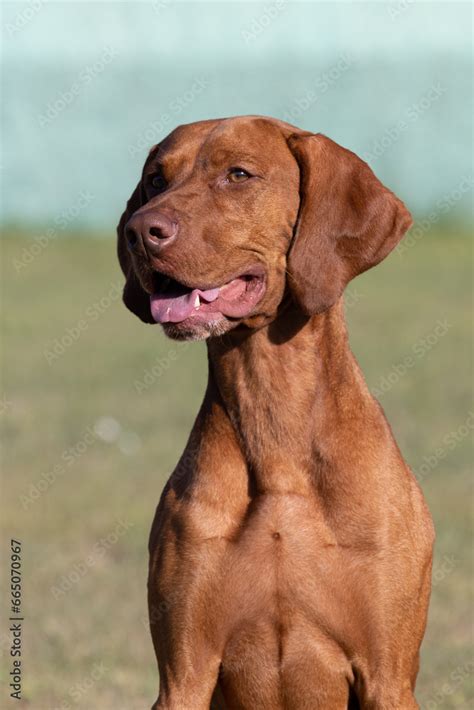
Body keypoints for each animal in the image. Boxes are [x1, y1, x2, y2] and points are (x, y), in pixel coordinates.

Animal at [117, 114, 434, 708]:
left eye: (238, 174)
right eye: (155, 179)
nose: (141, 231)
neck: (274, 419)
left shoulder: (389, 676)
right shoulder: (182, 674)